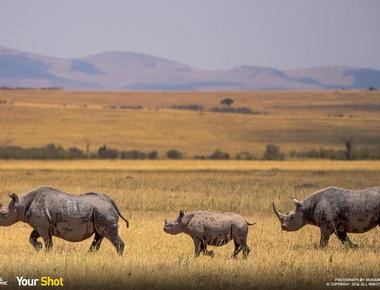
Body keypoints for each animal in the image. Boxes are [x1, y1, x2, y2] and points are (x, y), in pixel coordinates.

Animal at [0, 187, 129, 255]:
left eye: (3, 214)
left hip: (103, 210)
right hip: (101, 211)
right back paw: (87, 255)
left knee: (108, 235)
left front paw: (46, 252)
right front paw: (39, 248)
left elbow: (48, 241)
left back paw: (118, 259)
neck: (21, 205)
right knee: (99, 235)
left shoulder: (42, 225)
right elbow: (31, 237)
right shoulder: (40, 225)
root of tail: (112, 202)